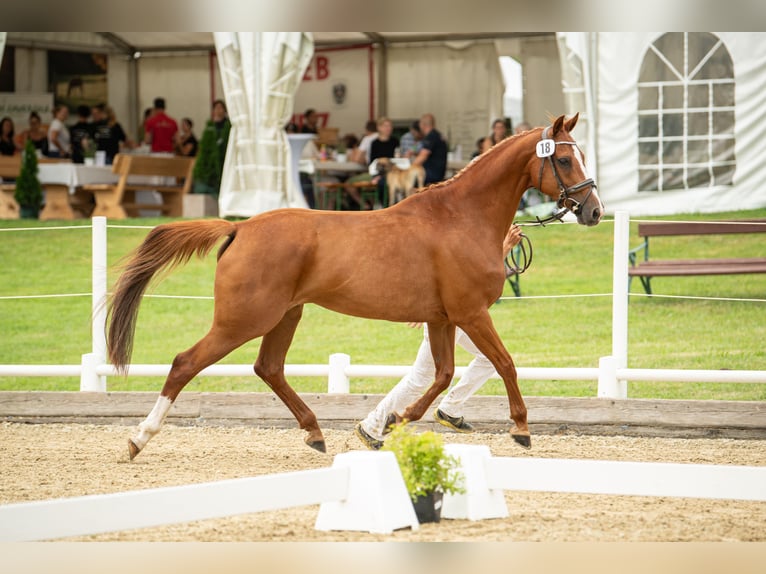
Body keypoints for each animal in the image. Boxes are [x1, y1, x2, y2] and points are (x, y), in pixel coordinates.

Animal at [108, 113, 602, 460]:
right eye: (563, 158)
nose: (594, 211)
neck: (461, 218)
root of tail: (239, 228)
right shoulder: (471, 314)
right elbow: (504, 363)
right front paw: (521, 428)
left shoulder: (442, 319)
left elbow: (442, 375)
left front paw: (390, 424)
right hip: (243, 320)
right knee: (185, 363)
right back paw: (138, 439)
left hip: (284, 315)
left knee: (269, 368)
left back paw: (315, 433)